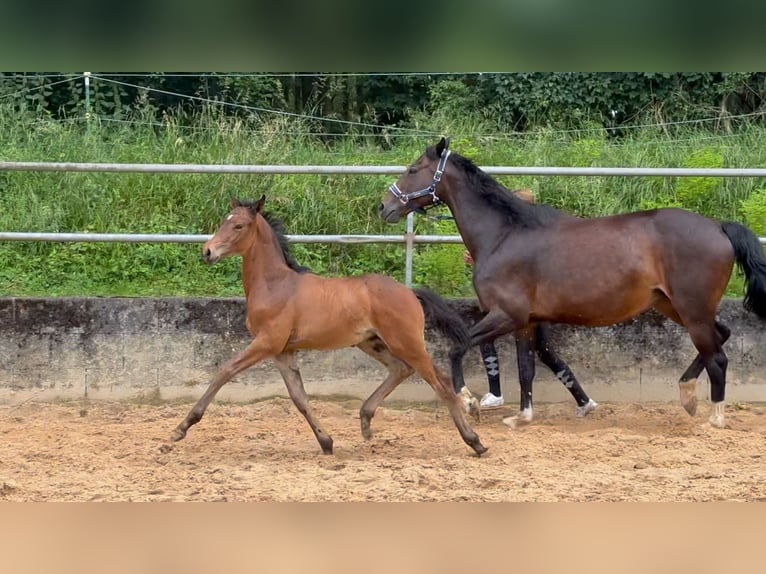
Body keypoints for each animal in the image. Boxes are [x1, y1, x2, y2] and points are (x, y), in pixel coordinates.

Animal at [172, 198, 488, 460]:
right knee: (401, 369)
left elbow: (224, 372)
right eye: (224, 221)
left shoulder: (266, 343)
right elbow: (299, 398)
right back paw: (366, 420)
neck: (275, 285)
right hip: (372, 342)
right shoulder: (283, 352)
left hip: (407, 342)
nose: (207, 251)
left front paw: (182, 427)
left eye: (238, 225)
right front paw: (326, 442)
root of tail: (410, 292)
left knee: (441, 383)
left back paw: (474, 440)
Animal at [384, 137, 766, 430]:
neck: (505, 235)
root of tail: (718, 227)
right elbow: (526, 369)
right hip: (674, 306)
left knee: (718, 357)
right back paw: (687, 395)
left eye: (413, 169)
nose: (384, 206)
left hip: (692, 310)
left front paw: (467, 401)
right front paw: (522, 417)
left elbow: (456, 347)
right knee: (722, 336)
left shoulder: (506, 315)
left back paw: (714, 418)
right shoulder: (527, 322)